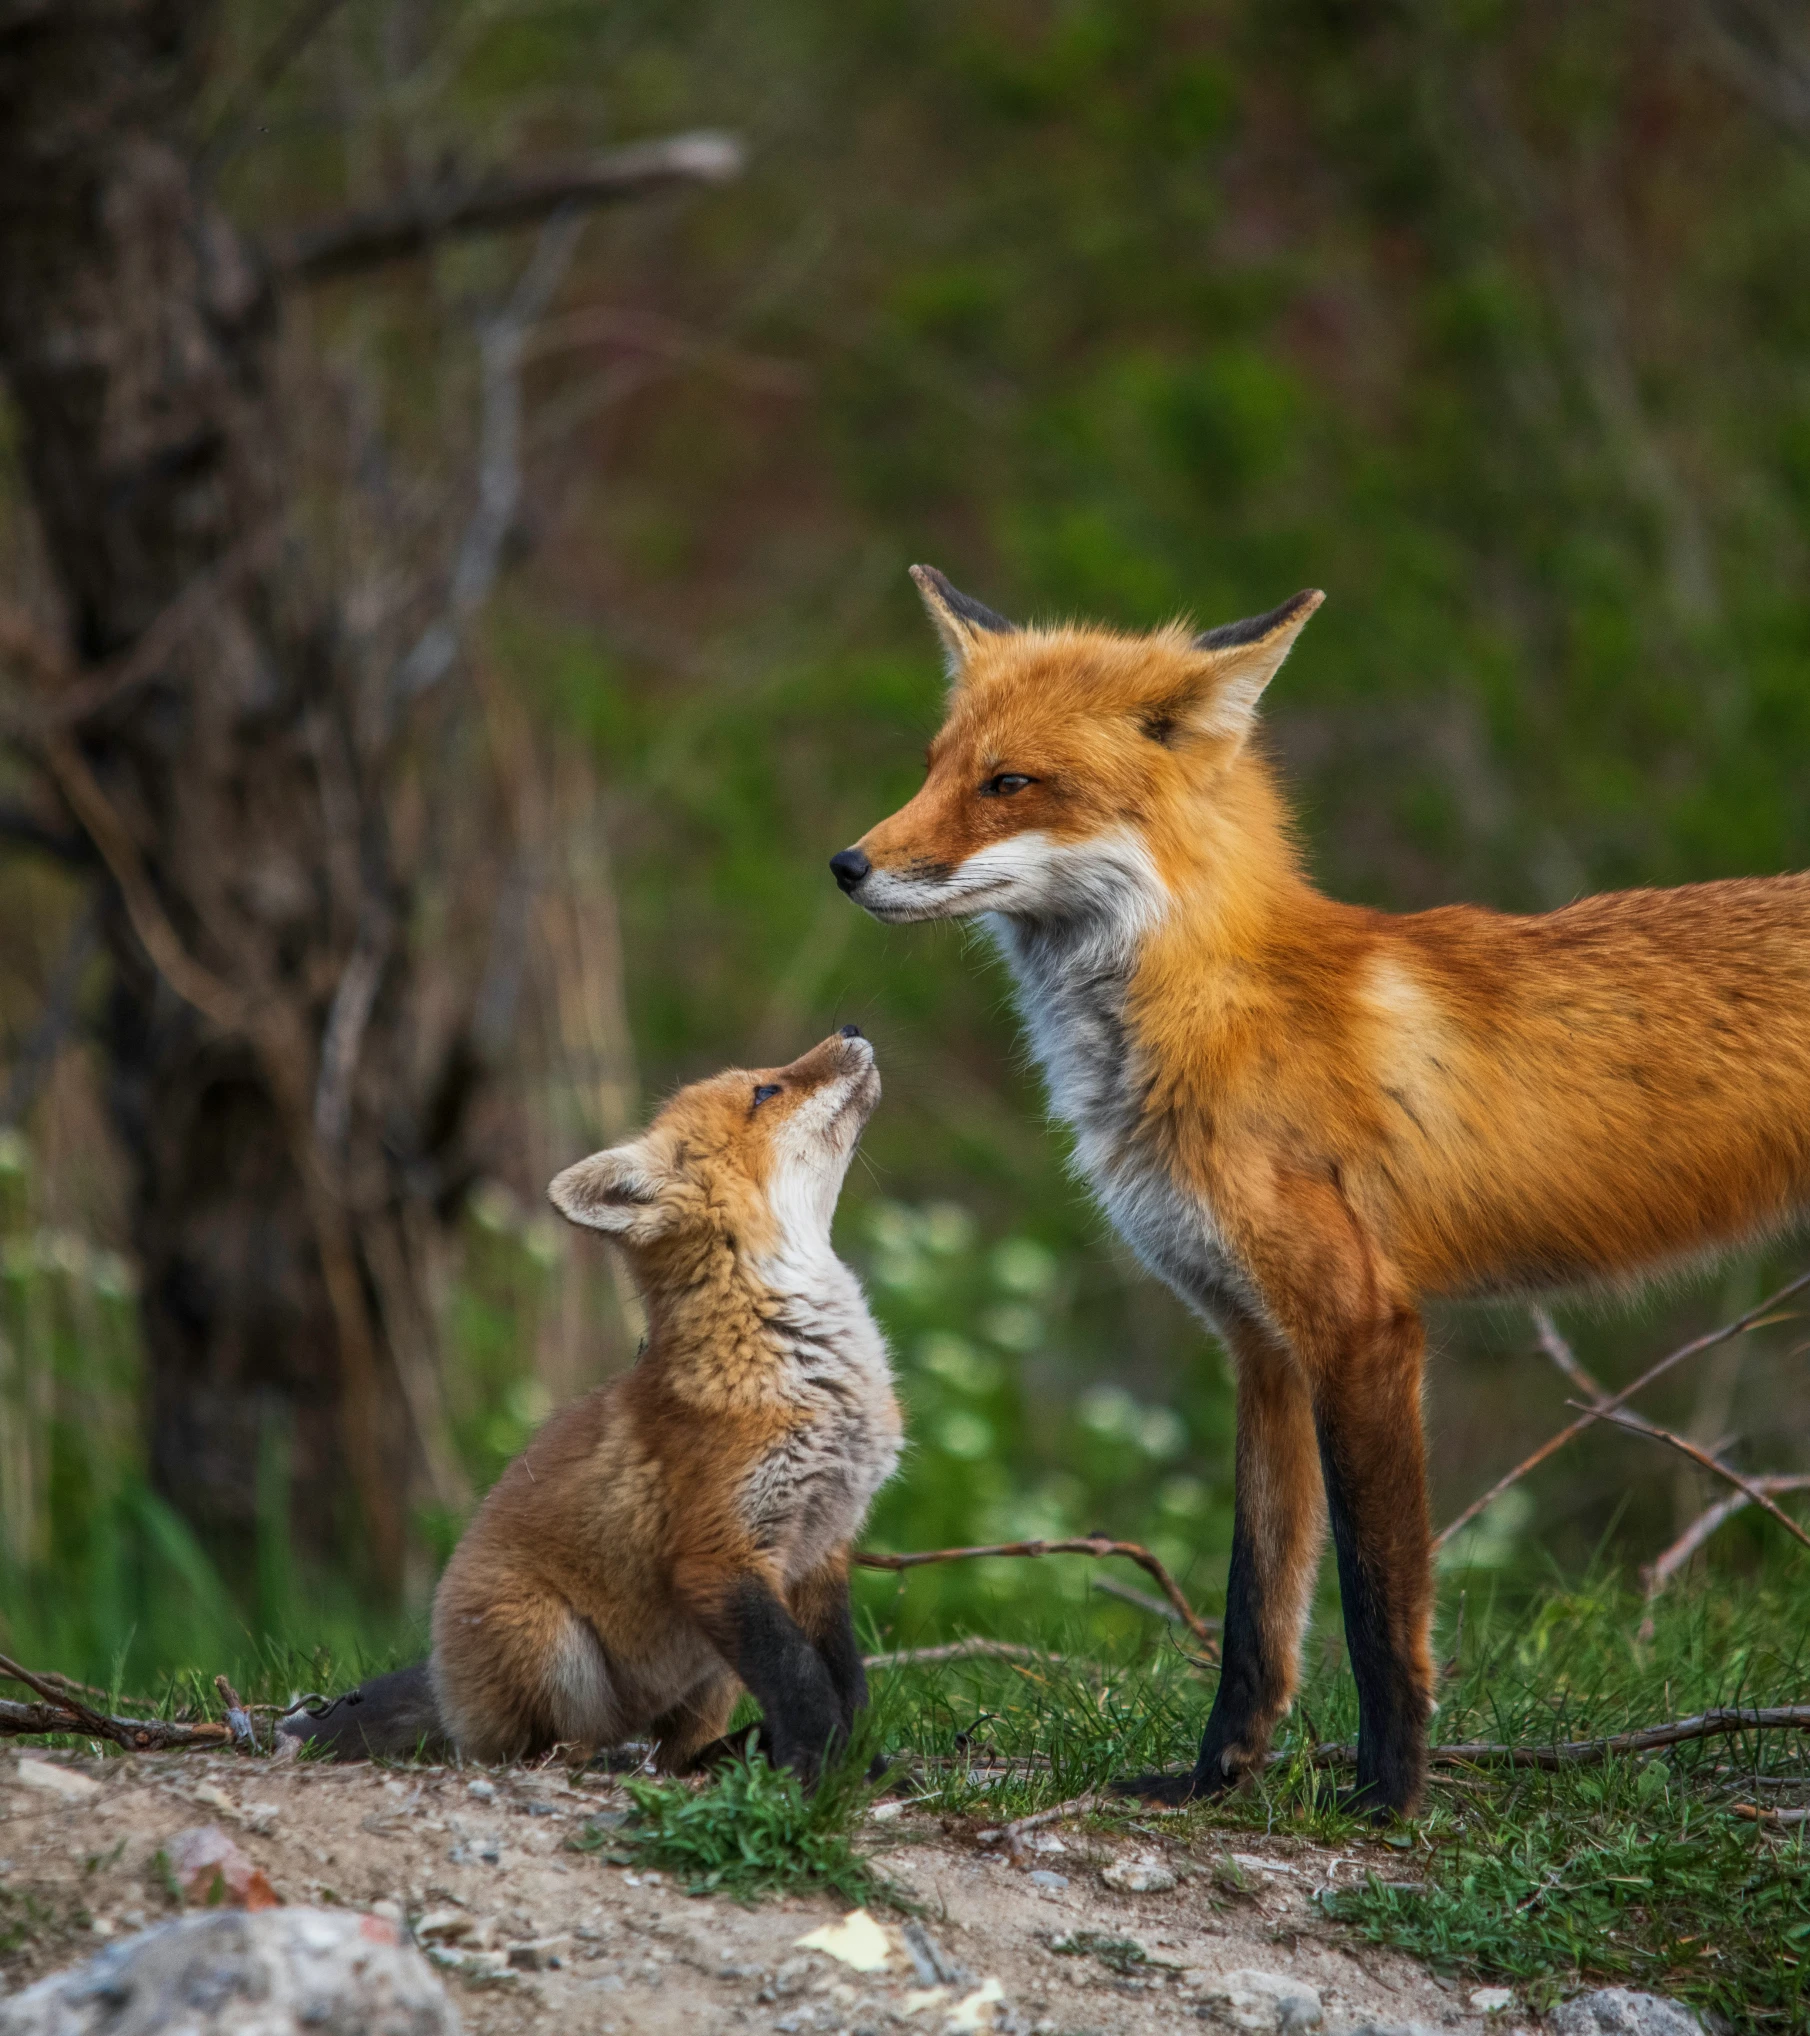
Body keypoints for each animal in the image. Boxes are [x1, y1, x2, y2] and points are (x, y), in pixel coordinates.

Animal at [280, 1026, 895, 1775]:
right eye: (767, 1091)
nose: (853, 1028)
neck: (805, 1365)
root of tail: (444, 1688)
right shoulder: (718, 1558)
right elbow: (800, 1676)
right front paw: (815, 1768)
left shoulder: (821, 1549)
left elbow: (845, 1676)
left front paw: (851, 1758)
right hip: (550, 1642)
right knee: (551, 1749)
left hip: (709, 1677)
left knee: (675, 1754)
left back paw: (724, 1756)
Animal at [830, 566, 1807, 1824]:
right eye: (934, 765)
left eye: (1010, 784)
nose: (847, 864)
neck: (1212, 1012)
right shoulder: (1257, 1341)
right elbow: (1259, 1604)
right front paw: (1212, 1779)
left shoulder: (1361, 1322)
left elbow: (1376, 1596)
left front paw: (1388, 1794)